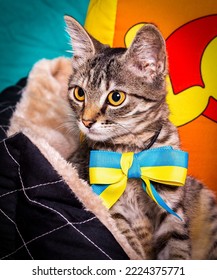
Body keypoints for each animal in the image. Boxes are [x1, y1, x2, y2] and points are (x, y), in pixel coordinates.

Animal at [65, 15, 217, 260]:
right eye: (79, 93)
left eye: (116, 97)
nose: (86, 121)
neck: (131, 152)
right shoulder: (109, 205)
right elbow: (129, 244)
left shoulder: (171, 204)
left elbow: (176, 245)